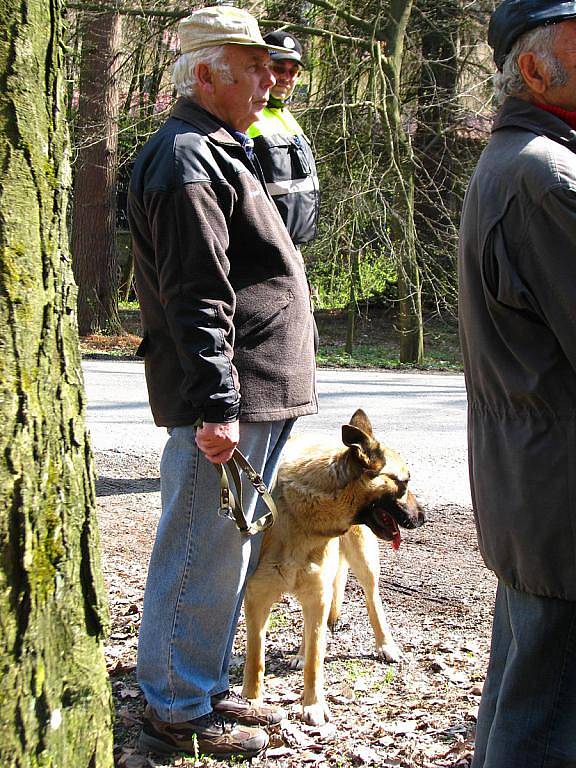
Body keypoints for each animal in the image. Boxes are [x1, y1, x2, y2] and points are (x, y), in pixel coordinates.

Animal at [241, 408, 426, 728]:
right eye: (404, 483)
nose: (424, 518)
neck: (303, 513)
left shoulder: (317, 595)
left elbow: (317, 660)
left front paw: (313, 705)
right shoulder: (257, 599)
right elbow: (256, 658)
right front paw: (252, 701)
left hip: (362, 565)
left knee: (373, 600)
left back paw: (385, 645)